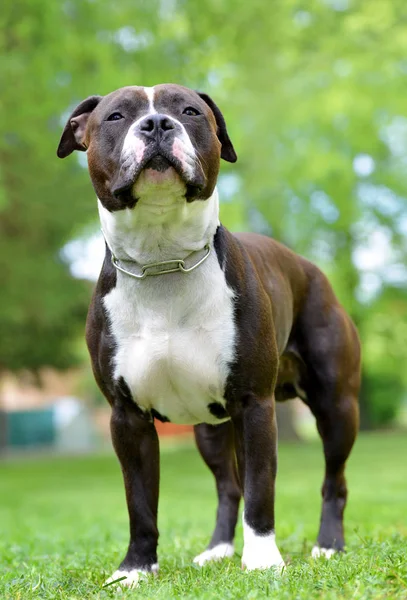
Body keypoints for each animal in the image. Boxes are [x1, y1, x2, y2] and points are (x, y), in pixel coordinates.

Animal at [56, 84, 360, 584]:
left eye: (189, 111)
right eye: (117, 116)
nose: (157, 124)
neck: (162, 262)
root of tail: (311, 269)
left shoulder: (254, 406)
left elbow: (261, 489)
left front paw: (262, 560)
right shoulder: (126, 418)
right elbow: (140, 502)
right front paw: (135, 569)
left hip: (336, 407)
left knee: (333, 480)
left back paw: (329, 545)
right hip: (210, 429)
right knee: (227, 486)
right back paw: (217, 550)